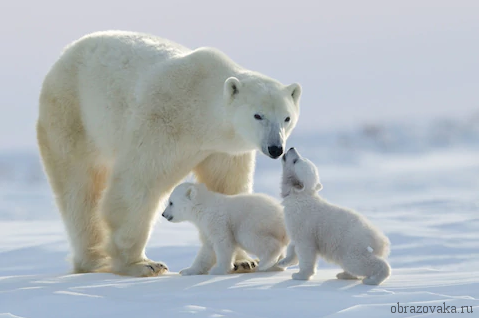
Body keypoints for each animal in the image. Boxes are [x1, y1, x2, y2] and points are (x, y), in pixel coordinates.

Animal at [37, 31, 302, 278]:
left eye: (286, 118)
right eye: (258, 115)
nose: (275, 148)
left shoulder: (223, 150)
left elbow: (227, 188)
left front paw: (244, 262)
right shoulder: (162, 122)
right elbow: (138, 185)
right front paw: (141, 264)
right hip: (73, 115)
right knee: (80, 189)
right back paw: (95, 261)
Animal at [280, 148, 392, 284]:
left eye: (296, 160)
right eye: (300, 158)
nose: (292, 148)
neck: (300, 196)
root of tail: (381, 241)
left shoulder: (303, 222)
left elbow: (305, 248)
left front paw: (300, 275)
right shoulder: (295, 224)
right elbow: (293, 243)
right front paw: (283, 261)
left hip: (353, 245)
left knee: (358, 262)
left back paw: (372, 279)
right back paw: (344, 274)